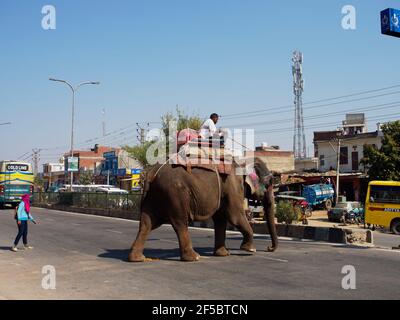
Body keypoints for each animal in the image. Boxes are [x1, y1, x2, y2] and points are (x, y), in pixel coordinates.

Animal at [129, 158, 278, 262]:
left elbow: (220, 220)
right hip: (175, 193)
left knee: (146, 223)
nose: (269, 248)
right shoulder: (233, 186)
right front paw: (249, 249)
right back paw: (194, 257)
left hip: (154, 196)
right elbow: (235, 216)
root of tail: (151, 173)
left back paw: (137, 259)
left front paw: (223, 254)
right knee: (180, 223)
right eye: (269, 184)